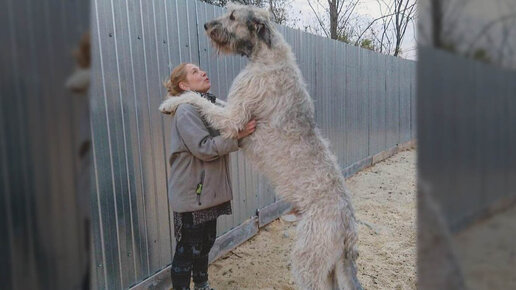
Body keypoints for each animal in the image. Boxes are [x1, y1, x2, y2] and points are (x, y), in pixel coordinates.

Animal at [161, 4, 362, 290]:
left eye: (233, 16)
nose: (206, 25)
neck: (267, 56)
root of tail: (348, 227)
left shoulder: (235, 116)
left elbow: (200, 101)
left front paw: (170, 102)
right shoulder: (232, 104)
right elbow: (213, 101)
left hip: (309, 256)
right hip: (329, 264)